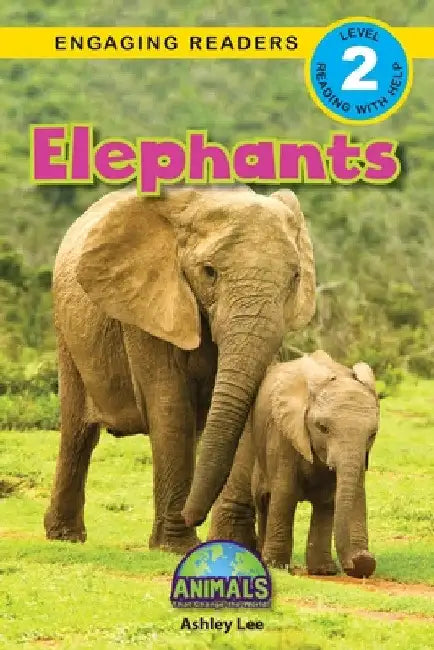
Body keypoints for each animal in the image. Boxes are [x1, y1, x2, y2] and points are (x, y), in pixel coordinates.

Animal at [44, 184, 315, 553]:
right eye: (209, 271)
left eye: (295, 277)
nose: (192, 517)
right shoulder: (147, 306)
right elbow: (170, 407)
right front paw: (176, 546)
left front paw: (231, 543)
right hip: (67, 330)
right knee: (77, 431)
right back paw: (64, 537)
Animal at [209, 350, 379, 578]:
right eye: (322, 428)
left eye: (372, 434)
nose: (358, 562)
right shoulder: (284, 434)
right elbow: (286, 492)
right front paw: (276, 566)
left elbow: (332, 499)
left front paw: (325, 571)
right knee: (264, 500)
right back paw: (264, 557)